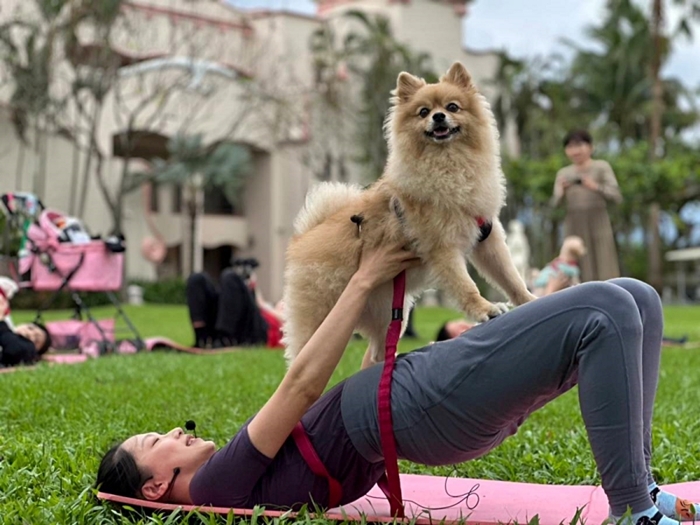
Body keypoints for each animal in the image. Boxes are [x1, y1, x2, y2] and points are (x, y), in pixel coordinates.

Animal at [284, 61, 536, 366]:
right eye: (423, 112)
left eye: (453, 107)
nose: (438, 116)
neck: (449, 164)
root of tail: (305, 236)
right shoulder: (442, 248)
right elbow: (466, 285)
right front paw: (485, 309)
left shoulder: (487, 239)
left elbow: (511, 277)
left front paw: (531, 301)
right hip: (320, 319)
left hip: (391, 315)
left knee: (377, 353)